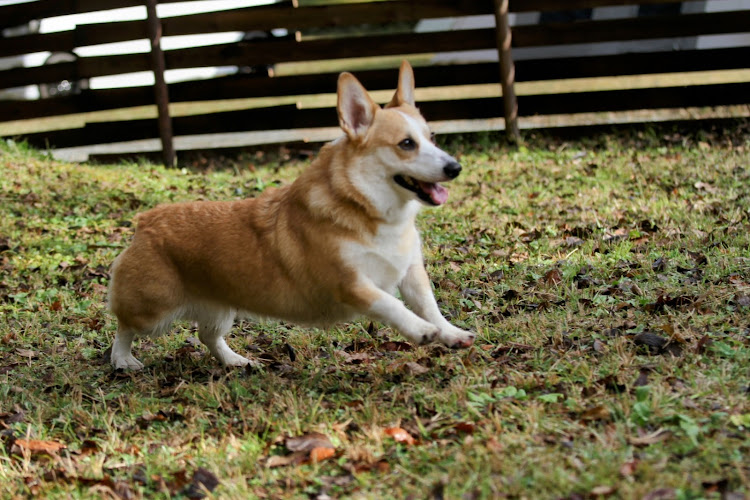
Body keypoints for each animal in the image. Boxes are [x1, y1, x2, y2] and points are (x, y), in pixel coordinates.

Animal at [107, 60, 476, 370]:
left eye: (432, 138)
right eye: (406, 144)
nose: (455, 168)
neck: (372, 210)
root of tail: (147, 220)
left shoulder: (411, 273)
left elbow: (429, 306)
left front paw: (449, 333)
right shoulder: (352, 284)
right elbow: (392, 305)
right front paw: (421, 331)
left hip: (221, 309)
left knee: (208, 336)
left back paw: (235, 361)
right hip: (153, 312)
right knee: (124, 326)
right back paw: (123, 360)